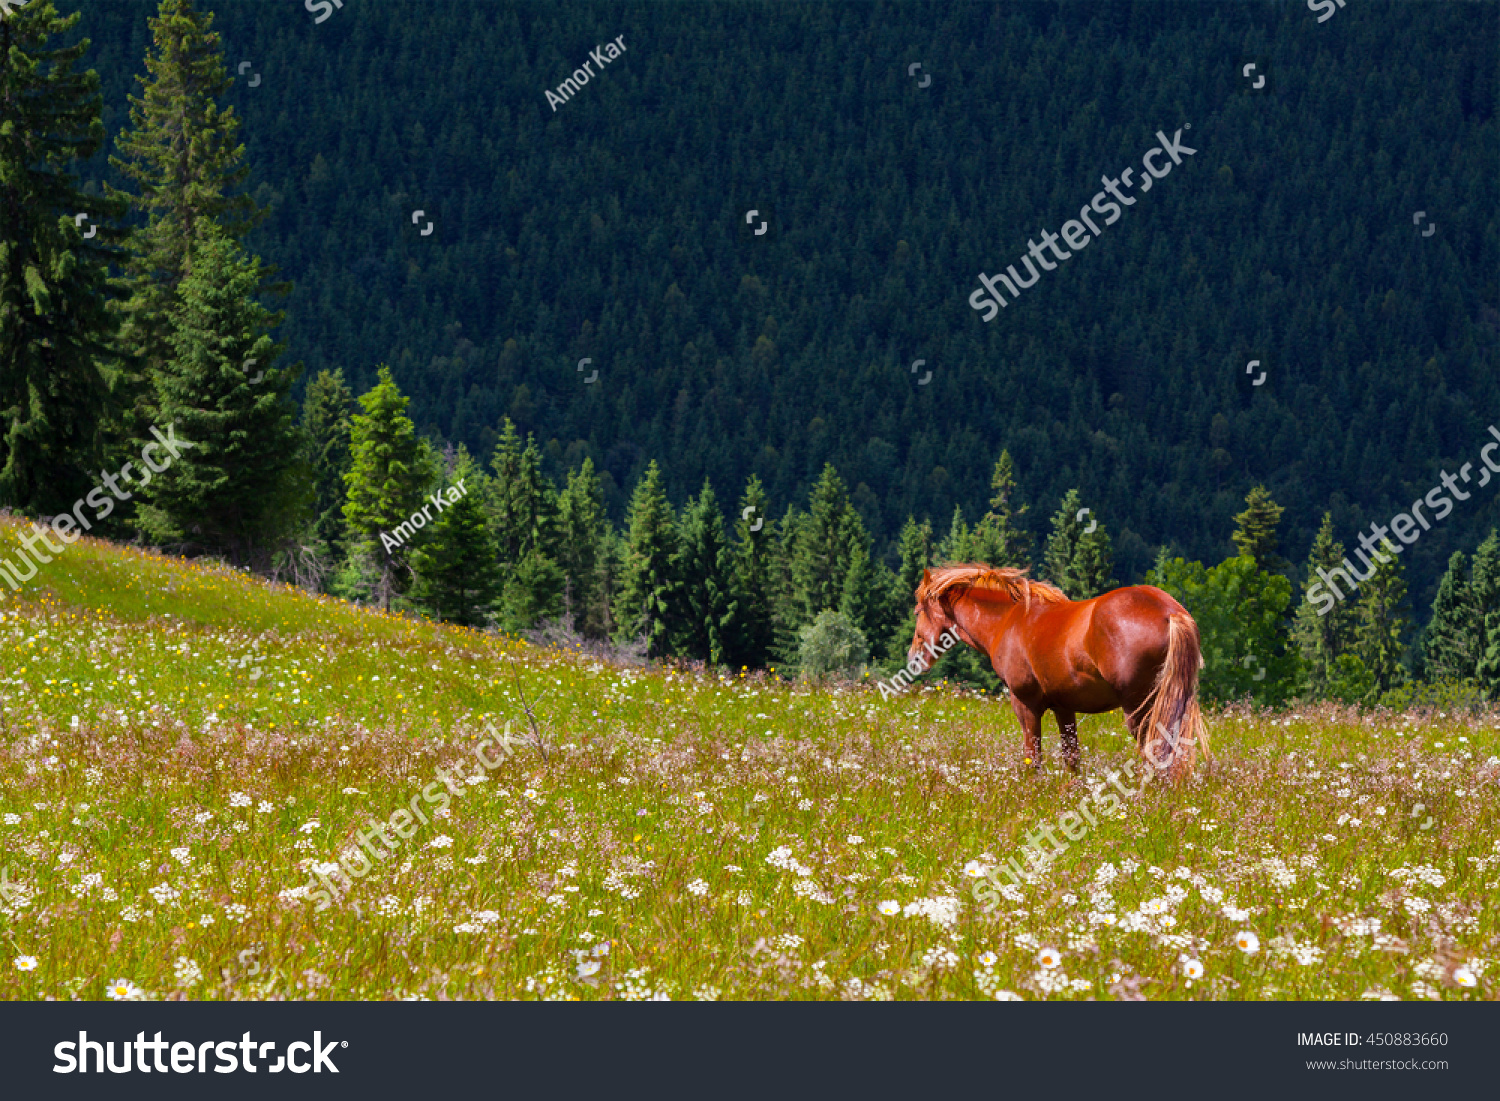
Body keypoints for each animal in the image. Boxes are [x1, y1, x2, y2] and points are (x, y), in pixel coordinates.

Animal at [900, 564, 1206, 780]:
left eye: (917, 611)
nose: (913, 657)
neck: (1009, 620)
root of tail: (1169, 611)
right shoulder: (1064, 707)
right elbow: (1072, 758)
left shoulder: (1025, 705)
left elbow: (1033, 758)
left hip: (1140, 709)